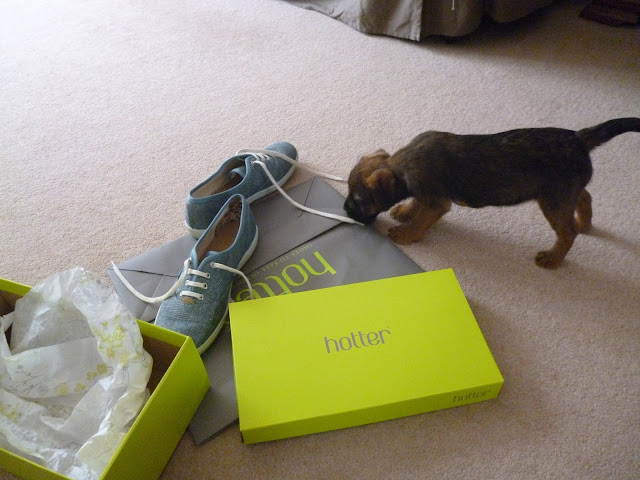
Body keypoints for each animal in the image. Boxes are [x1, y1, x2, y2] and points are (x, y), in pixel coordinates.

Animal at [344, 117, 640, 268]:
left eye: (358, 200)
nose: (345, 209)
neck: (402, 166)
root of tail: (578, 137)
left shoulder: (437, 203)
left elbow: (422, 220)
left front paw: (407, 233)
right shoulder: (427, 197)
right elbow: (416, 205)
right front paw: (404, 211)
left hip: (553, 201)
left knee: (568, 233)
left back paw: (554, 257)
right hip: (565, 193)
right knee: (586, 198)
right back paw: (585, 223)